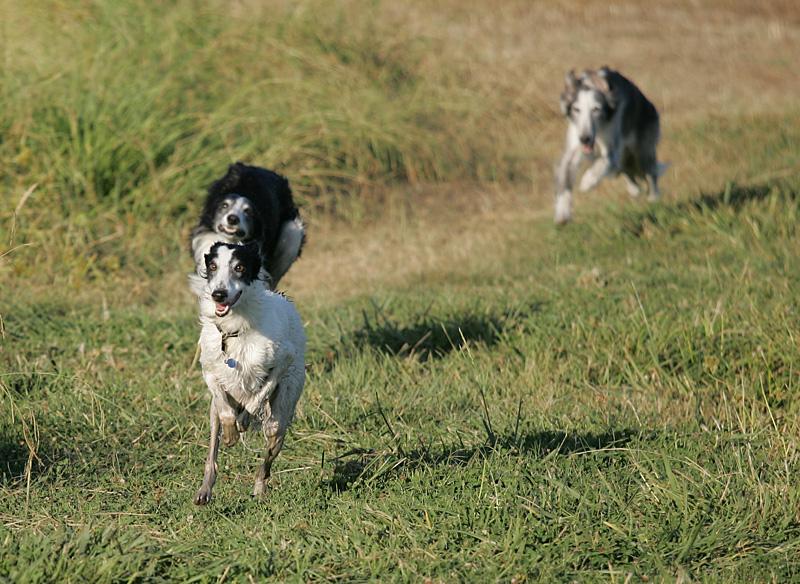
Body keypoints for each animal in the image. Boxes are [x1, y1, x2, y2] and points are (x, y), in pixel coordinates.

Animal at [189, 241, 306, 504]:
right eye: (213, 266)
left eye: (239, 268)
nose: (218, 295)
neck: (234, 330)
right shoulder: (210, 370)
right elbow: (224, 408)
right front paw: (231, 431)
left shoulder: (283, 360)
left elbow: (259, 394)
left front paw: (243, 420)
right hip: (212, 415)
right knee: (212, 451)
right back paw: (205, 489)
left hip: (282, 412)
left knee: (268, 452)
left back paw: (259, 488)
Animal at [554, 66, 667, 224]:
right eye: (576, 109)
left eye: (596, 109)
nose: (585, 139)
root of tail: (647, 102)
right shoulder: (573, 148)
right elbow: (565, 180)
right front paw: (562, 213)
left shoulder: (612, 148)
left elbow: (603, 162)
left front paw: (587, 182)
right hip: (626, 159)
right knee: (627, 172)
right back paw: (634, 189)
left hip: (643, 151)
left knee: (651, 173)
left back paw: (654, 198)